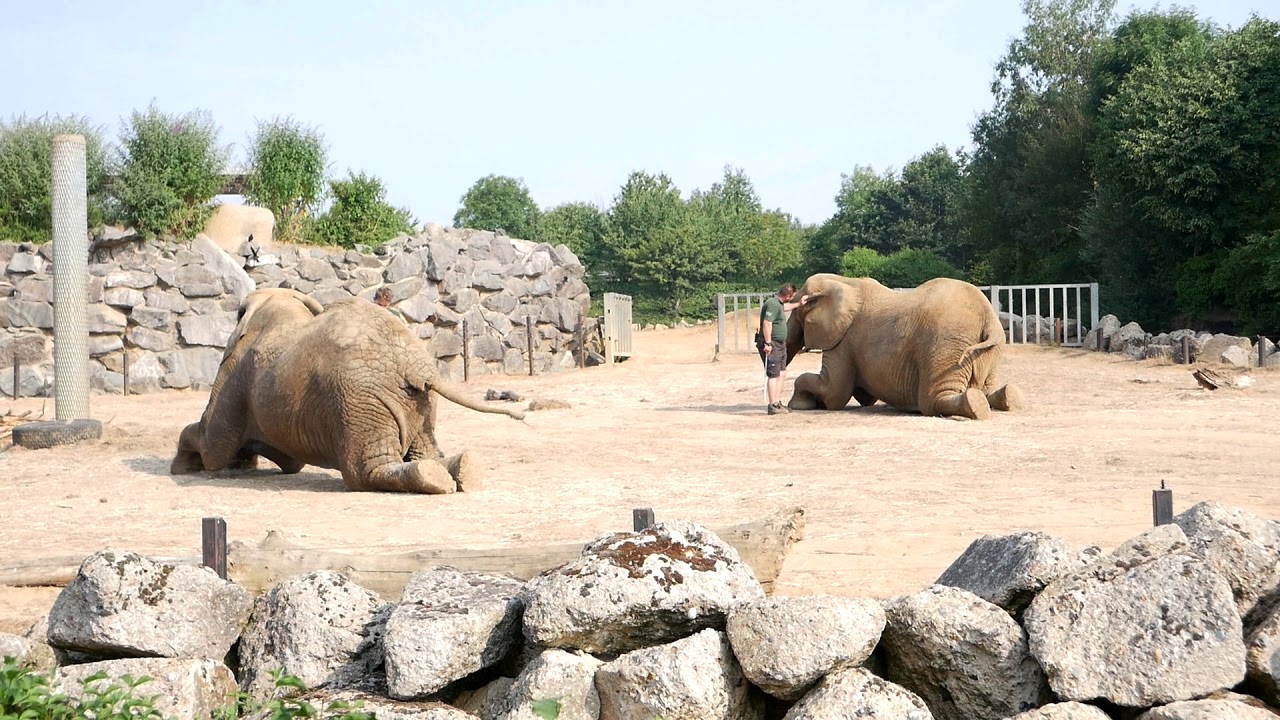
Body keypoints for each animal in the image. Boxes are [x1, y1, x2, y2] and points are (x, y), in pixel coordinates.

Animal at [170, 288, 526, 493]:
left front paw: (183, 469)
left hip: (360, 398)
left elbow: (213, 446)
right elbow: (286, 460)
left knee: (363, 472)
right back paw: (461, 471)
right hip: (414, 402)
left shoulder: (233, 374)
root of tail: (415, 364)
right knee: (426, 451)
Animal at [784, 273, 1024, 420]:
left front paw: (798, 405)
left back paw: (975, 404)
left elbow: (834, 393)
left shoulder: (843, 340)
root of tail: (988, 319)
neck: (844, 282)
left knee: (933, 400)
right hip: (987, 351)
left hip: (945, 345)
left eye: (795, 310)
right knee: (988, 388)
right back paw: (1007, 396)